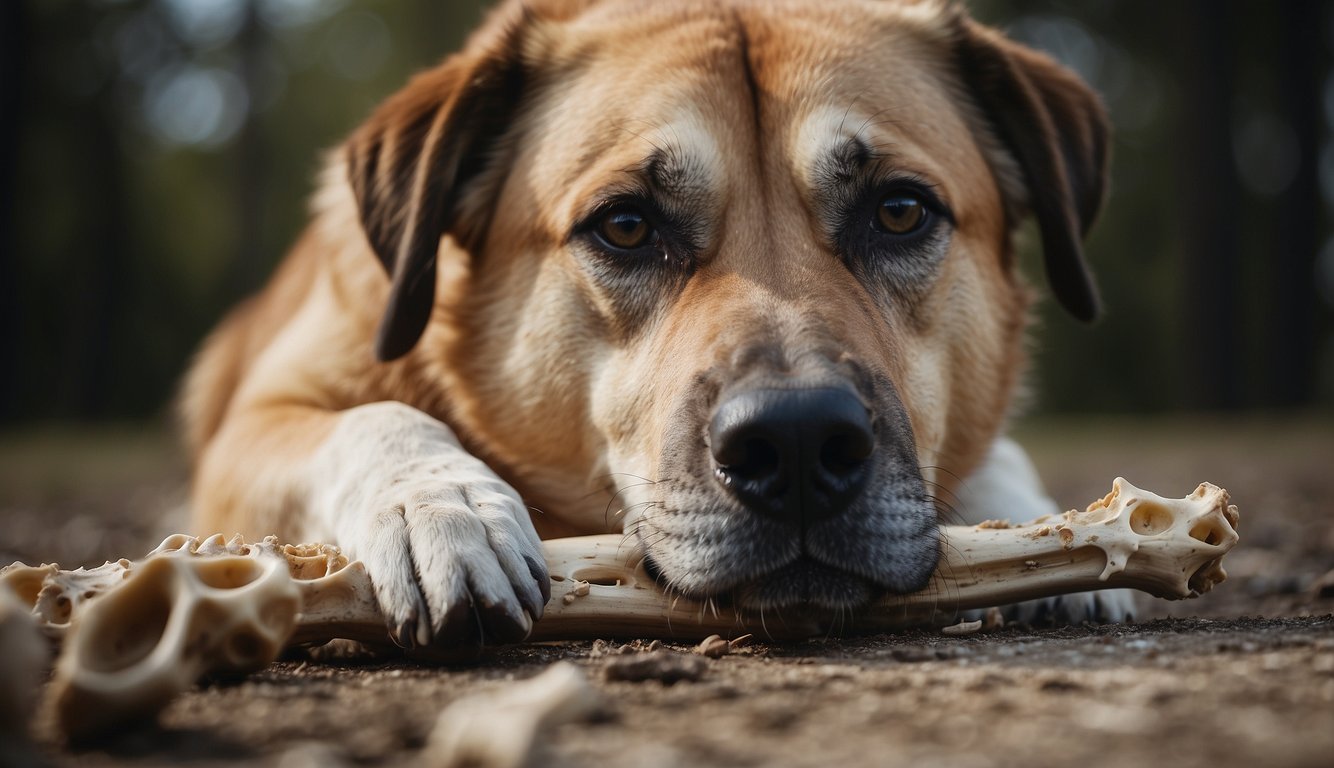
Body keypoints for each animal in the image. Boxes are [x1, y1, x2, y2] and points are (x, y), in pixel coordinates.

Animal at [177, 0, 1136, 648]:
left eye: (899, 212)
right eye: (627, 225)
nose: (795, 444)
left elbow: (1001, 455)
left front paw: (1055, 534)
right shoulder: (250, 428)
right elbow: (376, 420)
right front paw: (441, 508)